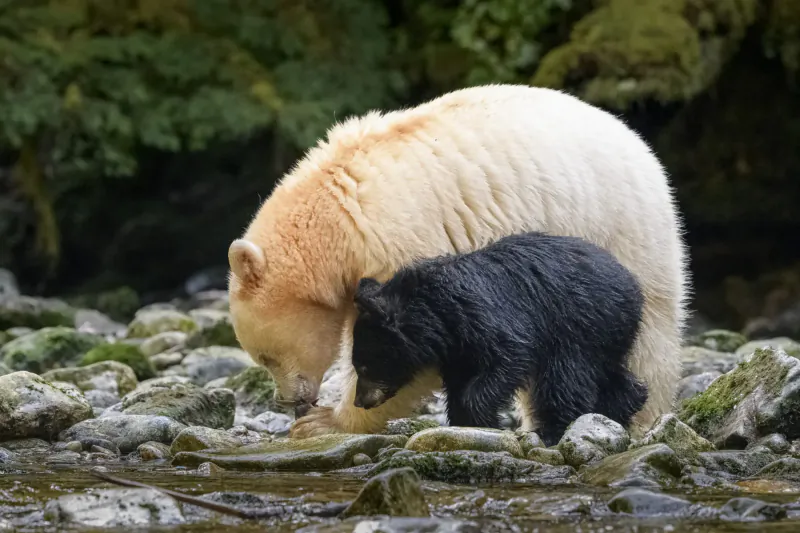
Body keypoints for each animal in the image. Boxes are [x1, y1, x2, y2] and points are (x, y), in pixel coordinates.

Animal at [350, 231, 649, 446]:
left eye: (362, 366)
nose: (359, 401)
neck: (435, 311)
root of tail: (632, 283)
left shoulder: (484, 314)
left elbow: (510, 355)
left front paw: (482, 418)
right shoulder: (457, 349)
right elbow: (458, 383)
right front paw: (465, 424)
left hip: (580, 319)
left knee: (566, 376)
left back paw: (553, 430)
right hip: (606, 329)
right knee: (608, 370)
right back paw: (623, 405)